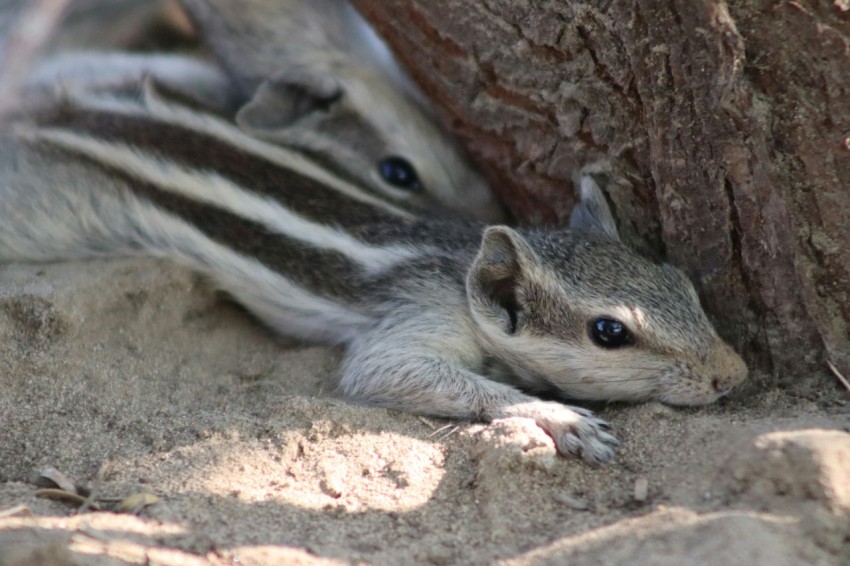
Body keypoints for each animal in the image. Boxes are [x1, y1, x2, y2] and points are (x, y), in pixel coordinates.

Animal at [0, 76, 744, 466]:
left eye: (681, 283)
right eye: (609, 333)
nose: (732, 375)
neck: (459, 265)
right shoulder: (419, 318)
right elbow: (385, 372)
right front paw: (560, 417)